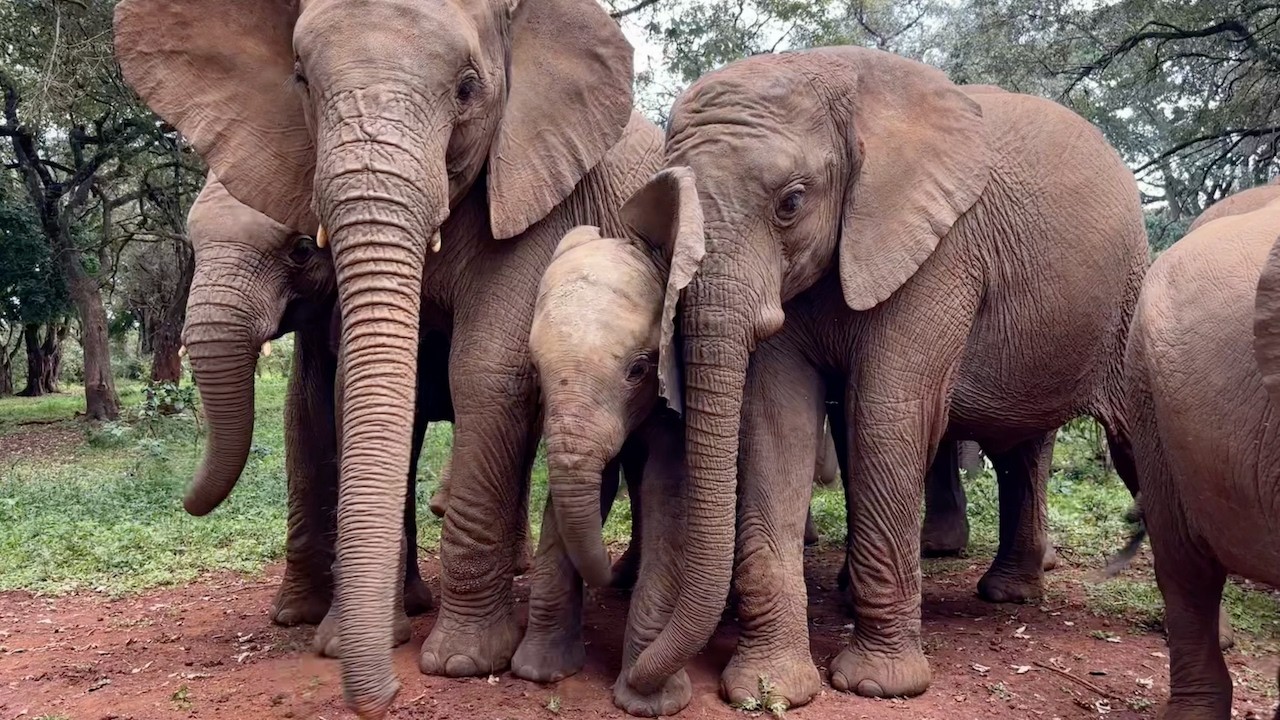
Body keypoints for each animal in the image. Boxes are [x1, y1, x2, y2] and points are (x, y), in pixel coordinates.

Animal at [116, 0, 658, 713]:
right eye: (301, 79)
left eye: (467, 88)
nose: (386, 697)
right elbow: (334, 401)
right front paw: (332, 637)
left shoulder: (543, 181)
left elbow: (486, 369)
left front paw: (460, 664)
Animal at [618, 48, 1147, 708]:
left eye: (791, 202)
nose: (643, 685)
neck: (840, 78)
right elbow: (774, 421)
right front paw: (768, 689)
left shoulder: (942, 251)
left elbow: (885, 414)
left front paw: (877, 685)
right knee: (1021, 450)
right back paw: (1009, 595)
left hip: (1132, 299)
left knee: (1138, 447)